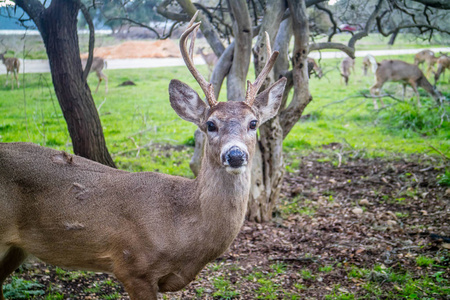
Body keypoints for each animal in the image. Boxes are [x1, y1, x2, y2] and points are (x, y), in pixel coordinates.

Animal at [0, 11, 286, 300]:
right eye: (210, 124)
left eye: (253, 123)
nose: (235, 154)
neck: (184, 228)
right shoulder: (133, 266)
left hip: (16, 248)